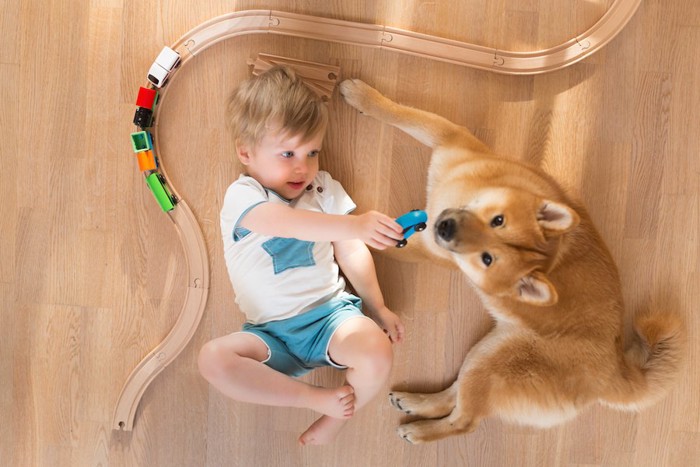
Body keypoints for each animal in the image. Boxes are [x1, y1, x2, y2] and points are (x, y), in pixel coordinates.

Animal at [342, 78, 688, 444]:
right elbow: (402, 113)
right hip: (484, 353)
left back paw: (420, 431)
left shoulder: (426, 248)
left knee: (463, 421)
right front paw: (363, 97)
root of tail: (613, 372)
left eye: (487, 259)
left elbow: (380, 243)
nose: (444, 227)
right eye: (498, 220)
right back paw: (415, 401)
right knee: (453, 396)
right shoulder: (448, 137)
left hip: (493, 365)